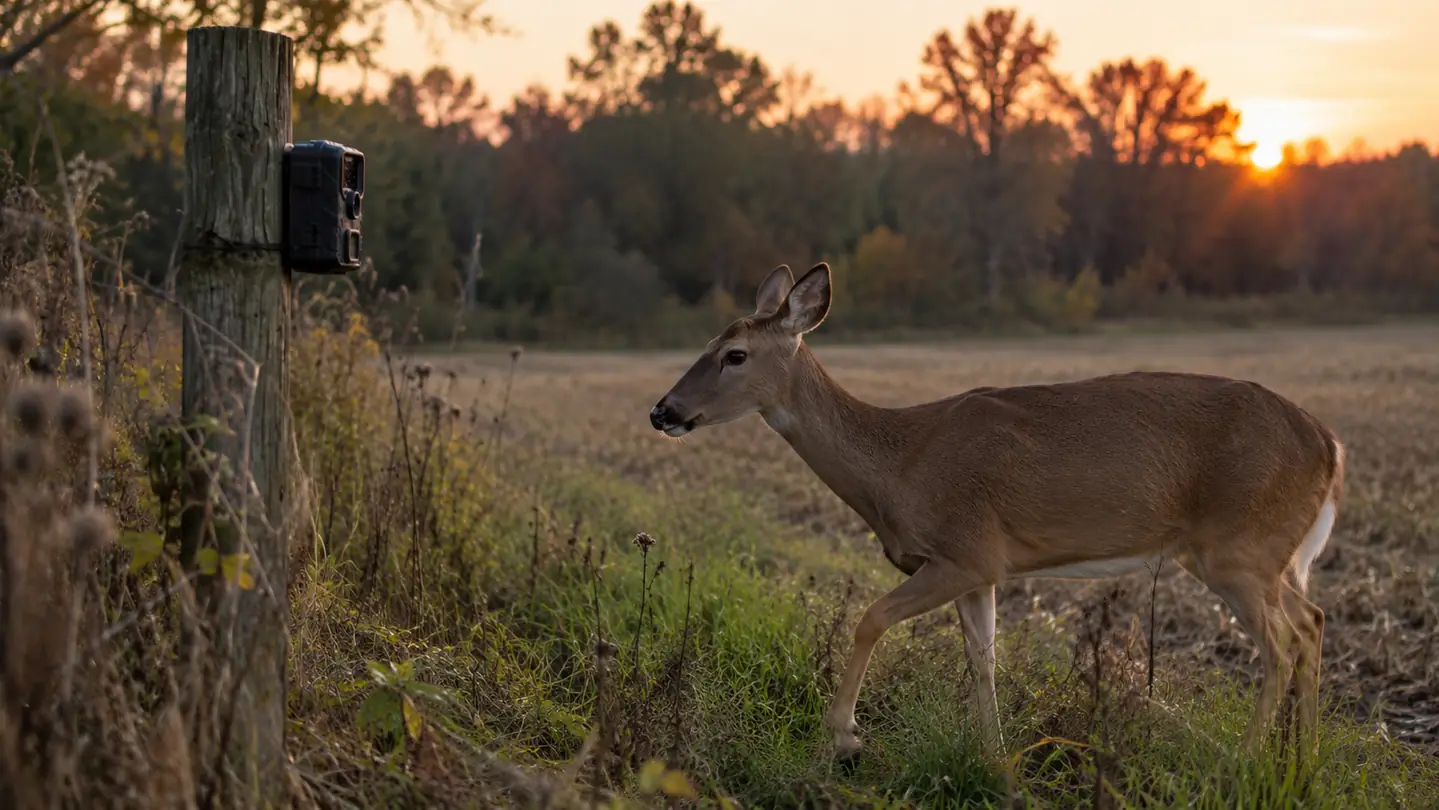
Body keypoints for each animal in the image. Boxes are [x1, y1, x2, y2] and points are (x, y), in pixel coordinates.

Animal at [647, 262, 1344, 763]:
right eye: (708, 343)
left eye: (734, 355)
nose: (662, 410)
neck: (899, 466)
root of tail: (1330, 446)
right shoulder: (981, 571)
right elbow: (982, 659)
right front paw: (993, 754)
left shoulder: (965, 551)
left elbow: (871, 619)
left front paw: (843, 735)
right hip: (1259, 554)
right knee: (1311, 622)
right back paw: (1304, 760)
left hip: (1238, 548)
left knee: (1281, 645)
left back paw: (1246, 761)